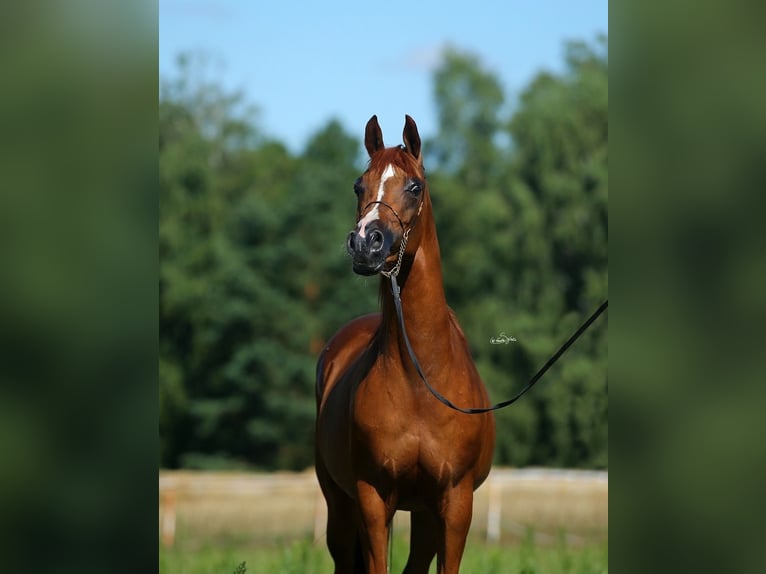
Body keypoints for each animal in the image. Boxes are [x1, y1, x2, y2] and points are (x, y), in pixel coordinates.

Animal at [315, 115, 496, 574]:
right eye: (359, 185)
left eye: (415, 186)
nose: (366, 242)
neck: (420, 379)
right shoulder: (372, 498)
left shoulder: (454, 503)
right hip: (339, 506)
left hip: (425, 515)